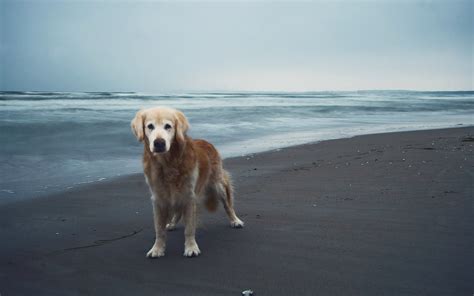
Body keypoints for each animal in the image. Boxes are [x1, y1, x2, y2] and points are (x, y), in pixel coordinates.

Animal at [131, 106, 244, 256]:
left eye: (168, 126)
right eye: (150, 126)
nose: (159, 143)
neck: (168, 164)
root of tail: (206, 141)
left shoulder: (189, 196)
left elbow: (189, 228)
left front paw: (191, 247)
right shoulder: (159, 198)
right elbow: (159, 229)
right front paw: (157, 249)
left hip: (217, 184)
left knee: (228, 206)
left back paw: (235, 221)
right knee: (177, 212)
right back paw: (172, 224)